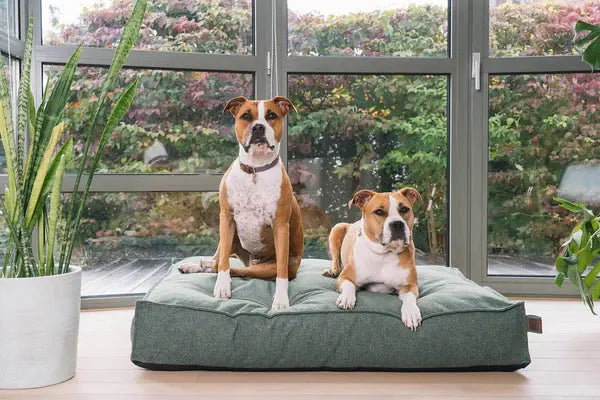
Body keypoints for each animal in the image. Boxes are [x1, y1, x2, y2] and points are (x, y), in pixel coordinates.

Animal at [179, 96, 304, 311]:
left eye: (272, 115)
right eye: (246, 116)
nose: (258, 127)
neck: (255, 170)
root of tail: (251, 261)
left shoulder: (280, 225)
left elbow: (281, 272)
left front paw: (280, 299)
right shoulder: (226, 218)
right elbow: (223, 263)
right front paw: (222, 287)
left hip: (265, 267)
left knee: (241, 271)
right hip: (228, 238)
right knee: (218, 261)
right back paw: (196, 265)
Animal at [323, 188, 422, 330]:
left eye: (404, 209)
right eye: (379, 212)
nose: (397, 224)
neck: (384, 254)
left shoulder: (409, 285)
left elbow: (409, 298)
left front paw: (411, 313)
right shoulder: (345, 277)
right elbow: (349, 285)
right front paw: (347, 298)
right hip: (337, 228)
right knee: (335, 260)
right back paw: (332, 271)